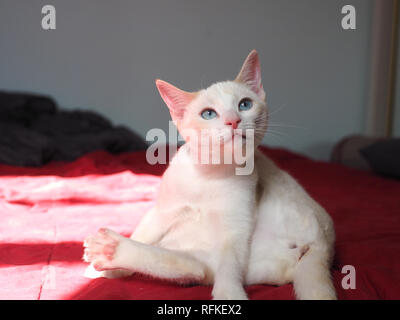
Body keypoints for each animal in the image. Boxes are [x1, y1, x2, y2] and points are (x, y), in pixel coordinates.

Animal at [83, 50, 336, 300]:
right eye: (208, 114)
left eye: (245, 104)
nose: (233, 120)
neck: (209, 176)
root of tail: (323, 245)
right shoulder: (163, 212)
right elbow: (143, 233)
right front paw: (105, 272)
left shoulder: (236, 227)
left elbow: (230, 267)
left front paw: (230, 296)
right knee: (191, 267)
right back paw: (109, 253)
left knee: (198, 269)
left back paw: (112, 251)